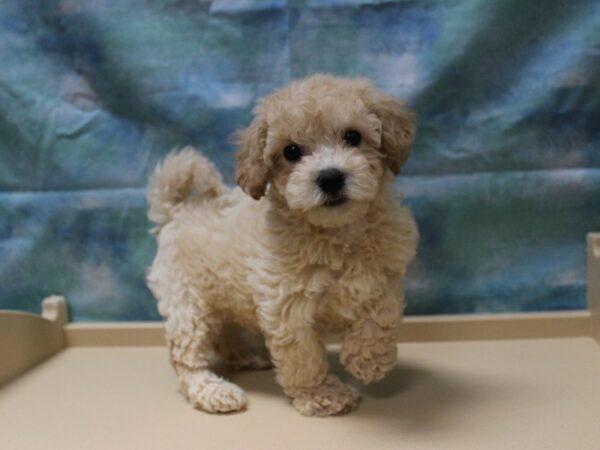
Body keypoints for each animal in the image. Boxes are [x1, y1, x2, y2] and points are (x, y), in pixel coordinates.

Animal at [146, 73, 418, 414]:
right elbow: (303, 357)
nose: (330, 177)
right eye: (291, 151)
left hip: (221, 296)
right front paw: (320, 394)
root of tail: (176, 211)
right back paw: (212, 390)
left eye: (352, 136)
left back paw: (246, 356)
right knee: (185, 355)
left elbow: (383, 315)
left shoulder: (385, 276)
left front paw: (368, 361)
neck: (336, 234)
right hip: (186, 301)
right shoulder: (288, 307)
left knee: (224, 332)